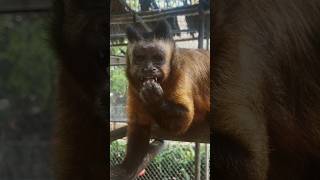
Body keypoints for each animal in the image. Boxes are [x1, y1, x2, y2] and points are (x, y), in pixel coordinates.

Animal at [112, 20, 210, 179]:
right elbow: (139, 125)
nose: (148, 69)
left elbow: (183, 120)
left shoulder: (182, 72)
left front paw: (154, 101)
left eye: (157, 58)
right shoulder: (134, 88)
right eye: (140, 58)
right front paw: (127, 167)